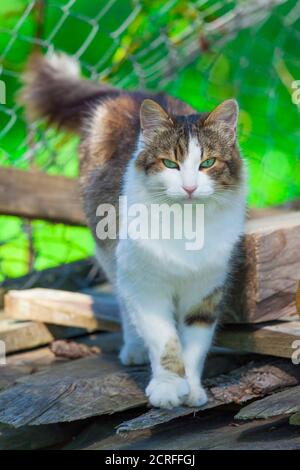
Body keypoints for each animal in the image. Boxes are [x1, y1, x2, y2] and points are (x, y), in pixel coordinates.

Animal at [20, 53, 246, 410]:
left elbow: (194, 345)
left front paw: (192, 388)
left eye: (208, 163)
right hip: (110, 253)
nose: (190, 187)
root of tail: (128, 92)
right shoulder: (144, 284)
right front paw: (168, 387)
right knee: (124, 304)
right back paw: (135, 349)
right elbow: (166, 341)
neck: (186, 221)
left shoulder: (206, 288)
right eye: (171, 164)